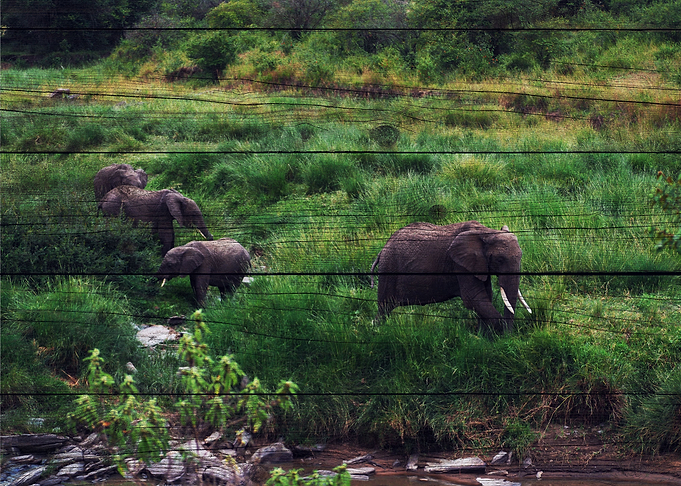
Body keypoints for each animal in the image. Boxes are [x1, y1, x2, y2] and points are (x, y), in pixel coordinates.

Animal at [370, 221, 531, 335]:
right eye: (499, 260)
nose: (509, 338)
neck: (487, 232)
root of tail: (381, 251)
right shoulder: (460, 264)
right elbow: (474, 298)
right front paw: (497, 332)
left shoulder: (478, 264)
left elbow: (485, 296)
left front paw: (482, 337)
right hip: (389, 268)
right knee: (384, 308)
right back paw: (377, 332)